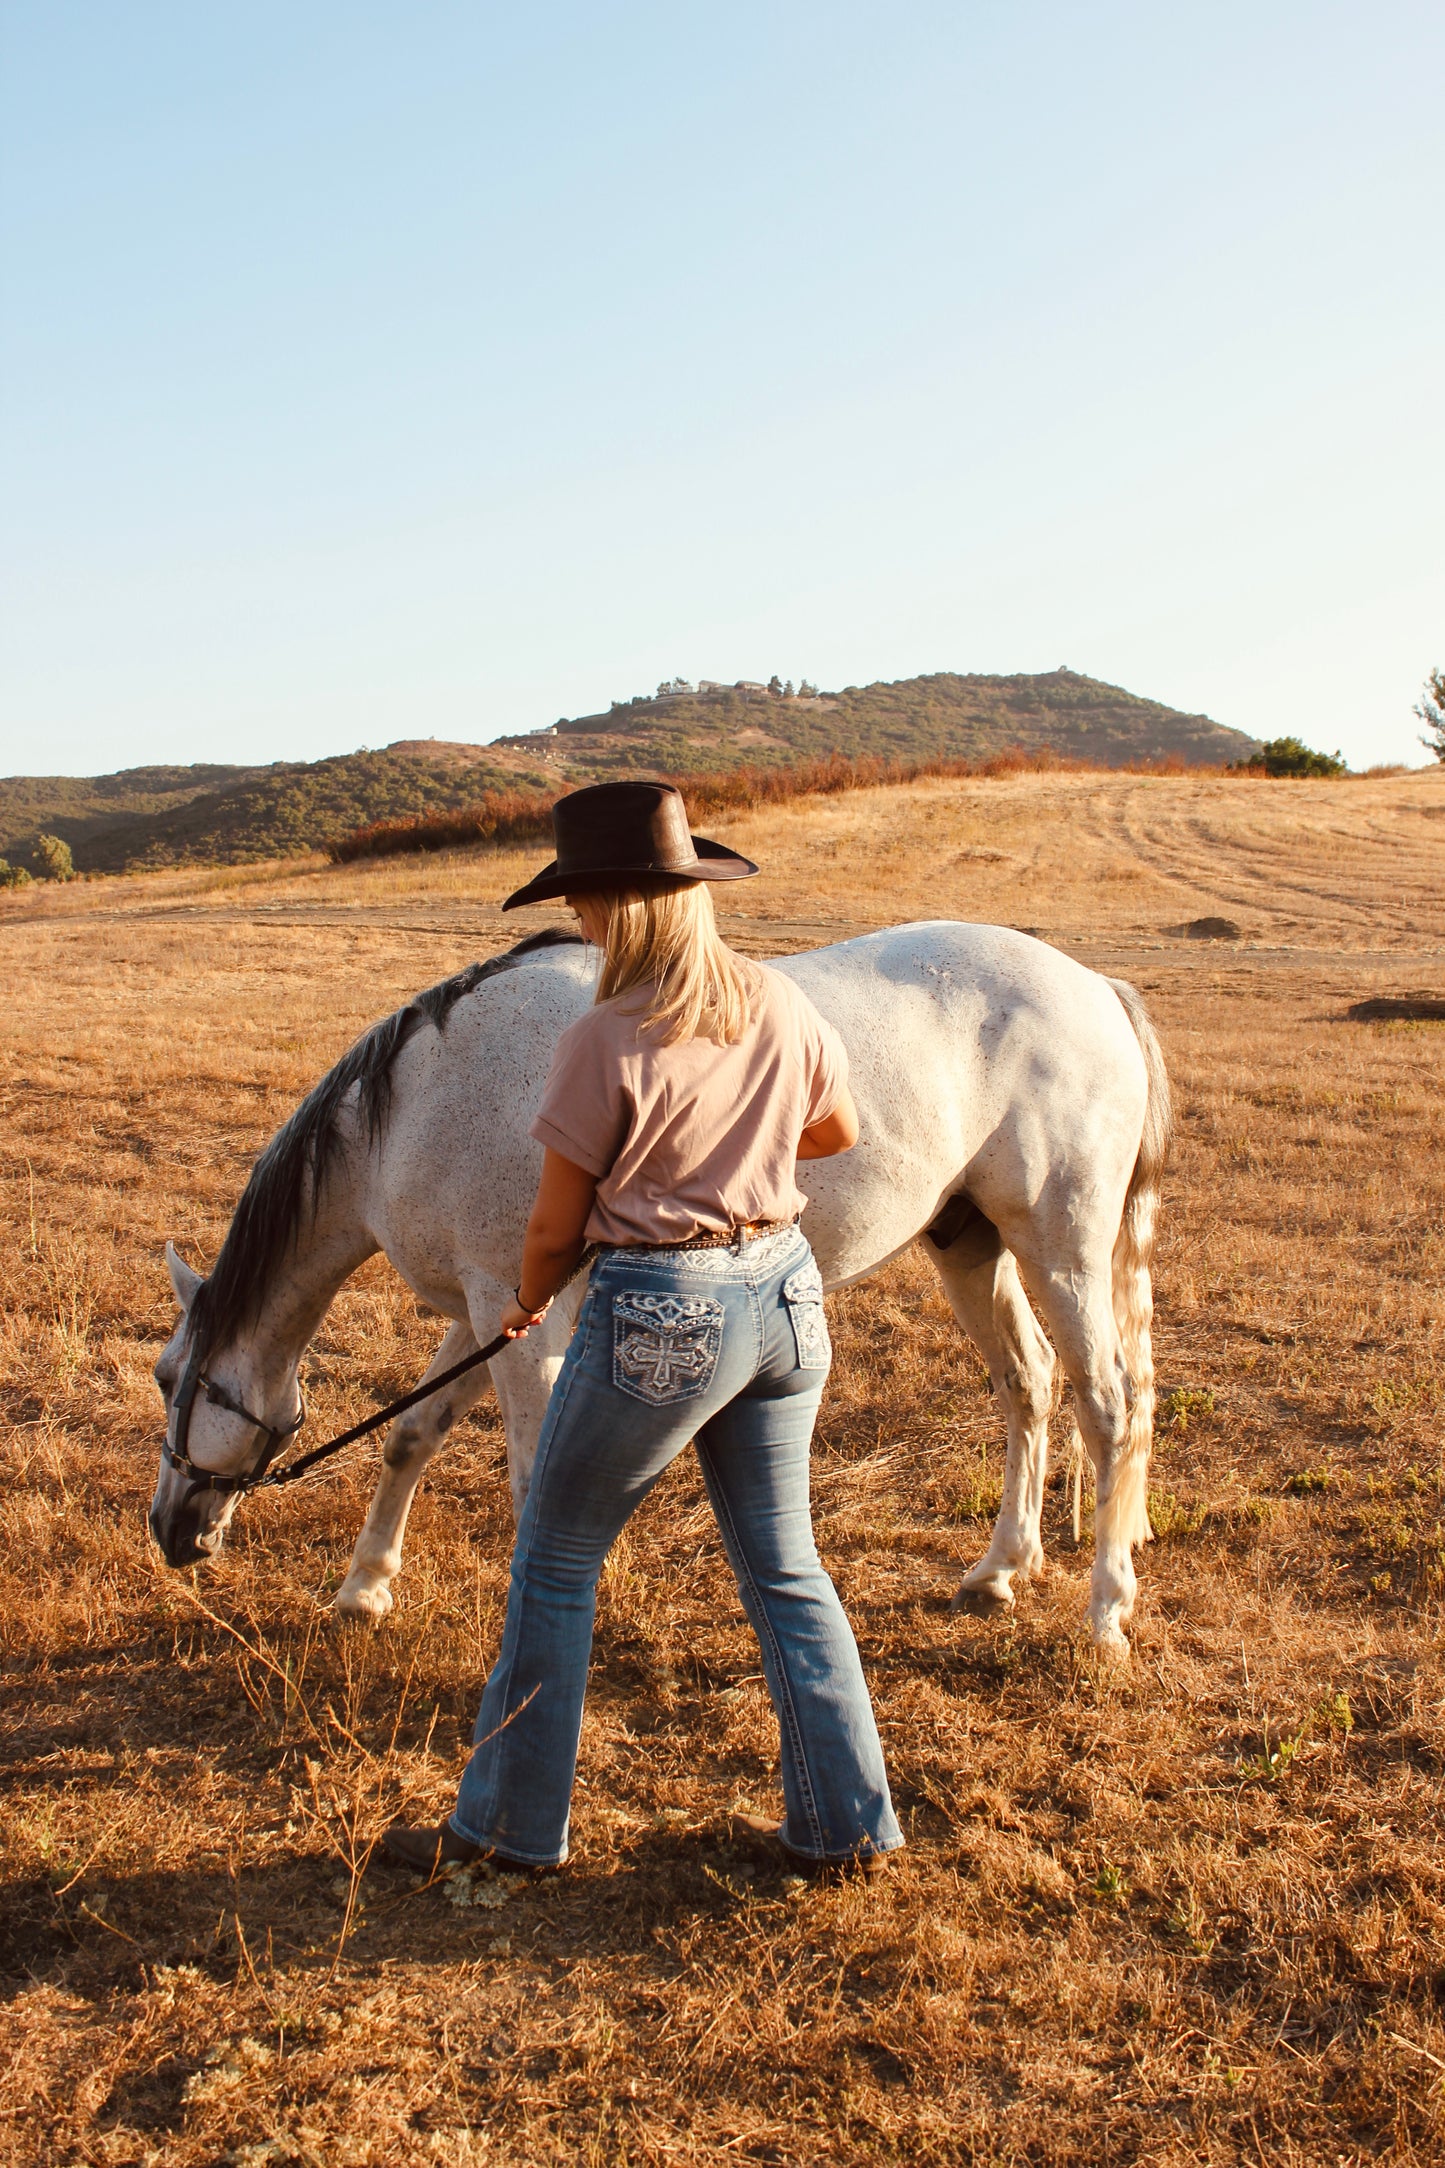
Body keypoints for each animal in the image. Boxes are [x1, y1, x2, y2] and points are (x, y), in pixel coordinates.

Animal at [149, 923, 1161, 1647]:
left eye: (168, 1379)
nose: (169, 1530)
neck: (422, 1098)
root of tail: (1093, 988)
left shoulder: (515, 1318)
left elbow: (530, 1482)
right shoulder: (490, 1309)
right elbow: (411, 1437)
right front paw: (363, 1588)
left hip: (1061, 1250)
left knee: (1110, 1405)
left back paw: (1106, 1609)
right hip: (969, 1245)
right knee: (1027, 1385)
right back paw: (1000, 1570)